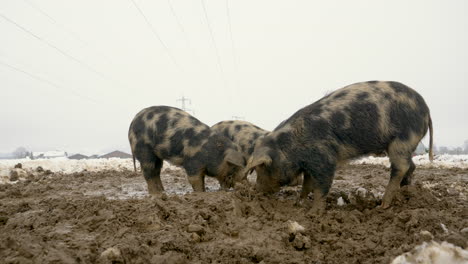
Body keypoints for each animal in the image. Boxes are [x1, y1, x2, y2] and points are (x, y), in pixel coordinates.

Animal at [247, 81, 434, 214]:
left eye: (261, 167)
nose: (256, 191)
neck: (291, 146)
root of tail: (427, 110)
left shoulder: (324, 158)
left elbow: (320, 187)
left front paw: (313, 213)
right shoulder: (309, 165)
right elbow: (307, 185)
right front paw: (298, 203)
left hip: (402, 139)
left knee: (400, 167)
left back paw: (383, 205)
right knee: (410, 166)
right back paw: (405, 191)